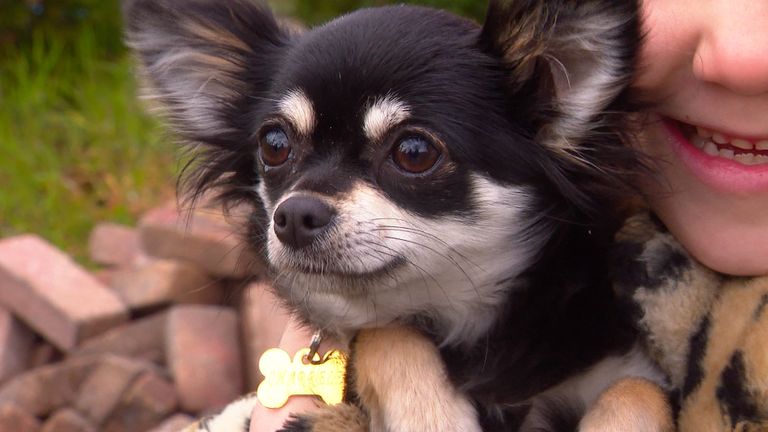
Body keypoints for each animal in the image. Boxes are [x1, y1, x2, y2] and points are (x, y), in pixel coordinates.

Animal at [124, 1, 660, 430]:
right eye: (274, 145)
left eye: (414, 152)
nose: (293, 215)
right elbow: (387, 332)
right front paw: (433, 418)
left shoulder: (612, 368)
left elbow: (636, 389)